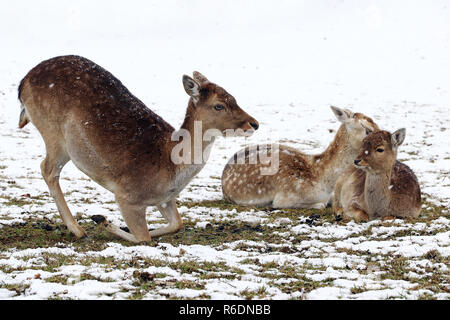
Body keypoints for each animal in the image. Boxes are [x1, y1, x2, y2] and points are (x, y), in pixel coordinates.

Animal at [17, 55, 258, 241]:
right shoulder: (127, 196)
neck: (170, 166)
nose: (254, 123)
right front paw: (103, 221)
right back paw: (79, 230)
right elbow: (144, 238)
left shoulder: (165, 199)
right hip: (55, 135)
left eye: (234, 98)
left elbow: (177, 224)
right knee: (47, 168)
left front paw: (104, 221)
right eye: (219, 105)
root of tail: (23, 83)